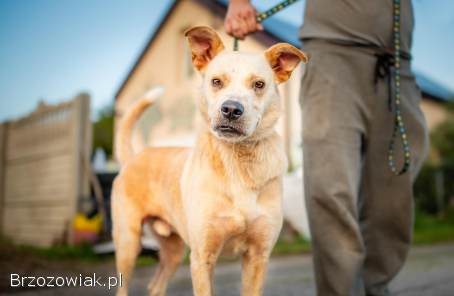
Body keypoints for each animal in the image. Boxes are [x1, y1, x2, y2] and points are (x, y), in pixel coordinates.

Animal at [111, 26, 306, 296]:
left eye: (259, 84)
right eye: (216, 81)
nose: (231, 110)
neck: (238, 162)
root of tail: (135, 156)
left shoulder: (258, 257)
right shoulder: (202, 257)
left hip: (173, 251)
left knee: (155, 285)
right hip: (128, 243)